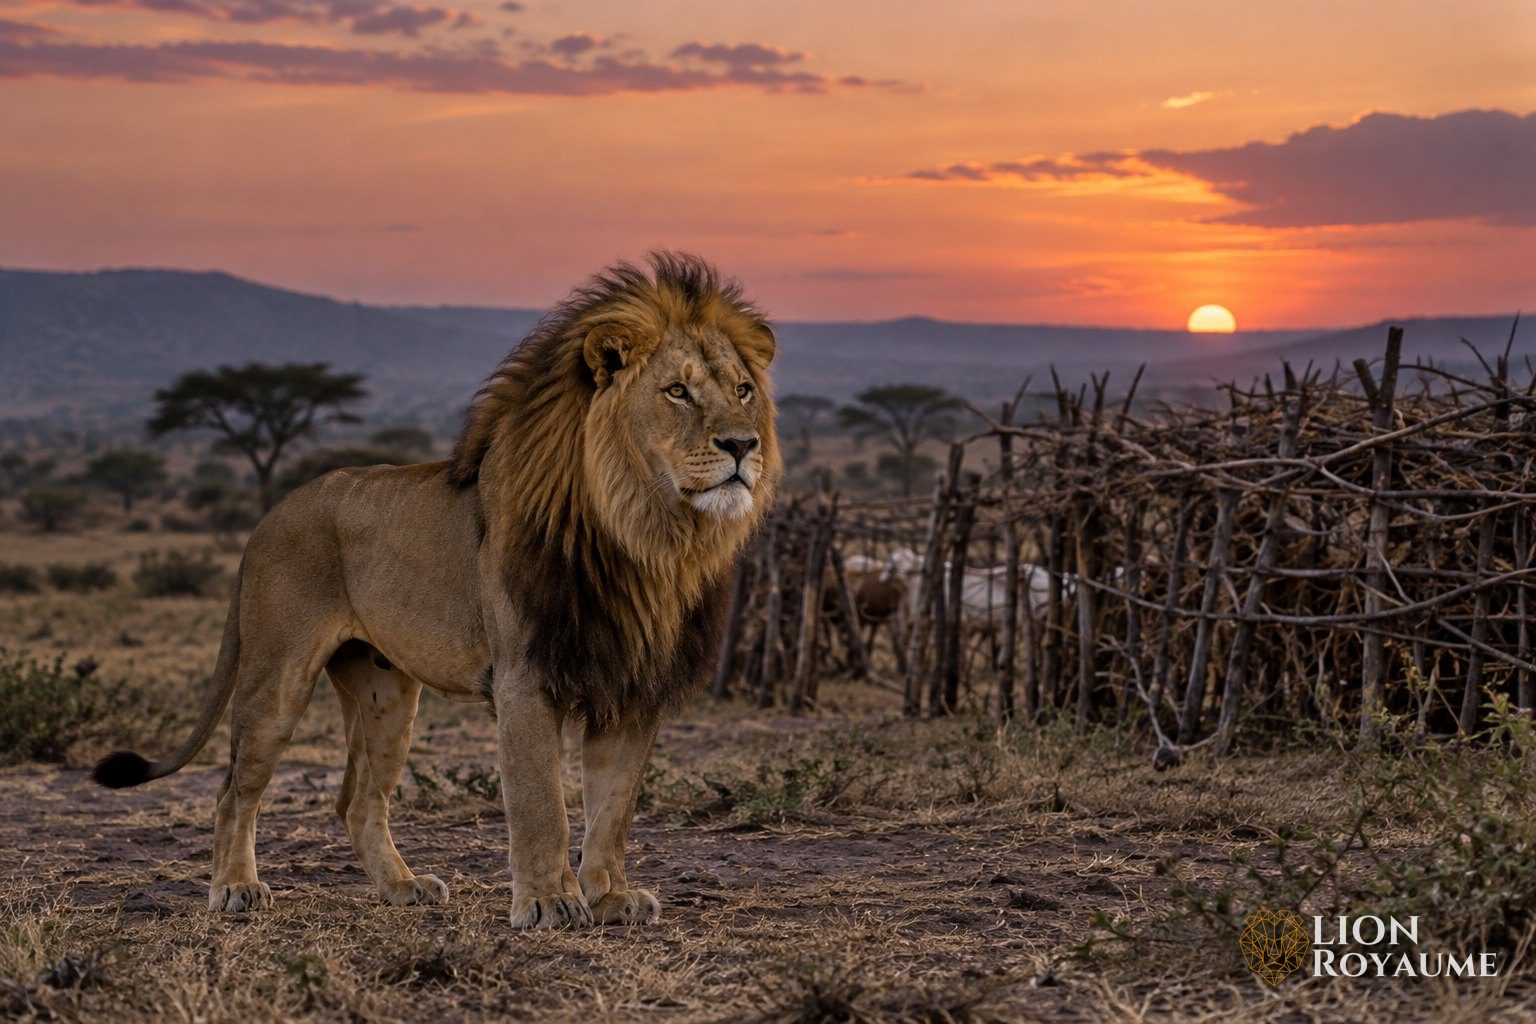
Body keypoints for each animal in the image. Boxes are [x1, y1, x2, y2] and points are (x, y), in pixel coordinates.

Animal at [91, 253, 781, 928]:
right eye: (677, 391)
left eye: (743, 391)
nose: (742, 444)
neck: (646, 535)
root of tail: (269, 515)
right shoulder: (525, 676)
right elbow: (542, 803)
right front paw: (548, 902)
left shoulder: (633, 684)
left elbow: (613, 809)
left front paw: (610, 897)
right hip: (277, 676)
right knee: (235, 788)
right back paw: (235, 888)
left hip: (386, 692)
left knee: (355, 801)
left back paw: (403, 888)